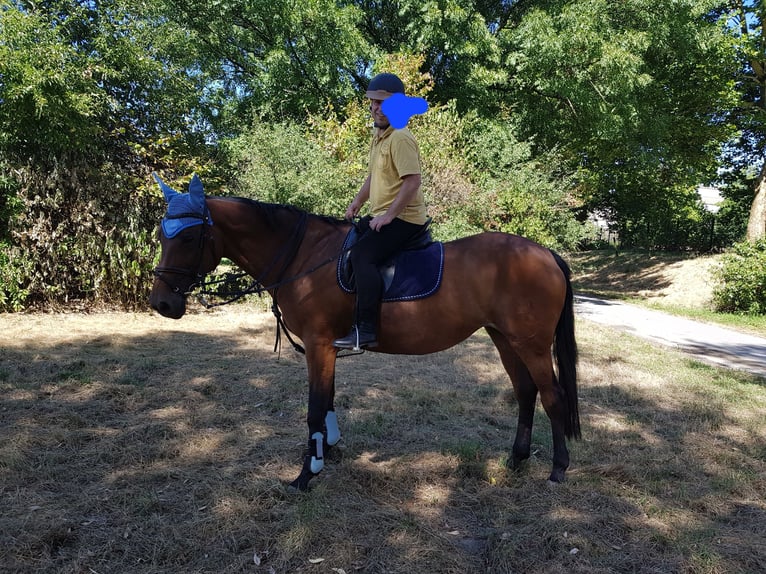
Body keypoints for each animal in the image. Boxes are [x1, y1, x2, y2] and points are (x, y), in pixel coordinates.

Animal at [152, 174, 584, 490]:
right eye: (160, 235)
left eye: (188, 237)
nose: (162, 303)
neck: (305, 256)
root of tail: (545, 254)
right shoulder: (326, 347)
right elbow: (327, 400)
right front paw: (329, 452)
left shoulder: (319, 345)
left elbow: (314, 408)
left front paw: (307, 473)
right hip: (504, 338)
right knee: (525, 392)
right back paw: (517, 459)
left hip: (531, 344)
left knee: (552, 396)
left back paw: (558, 469)